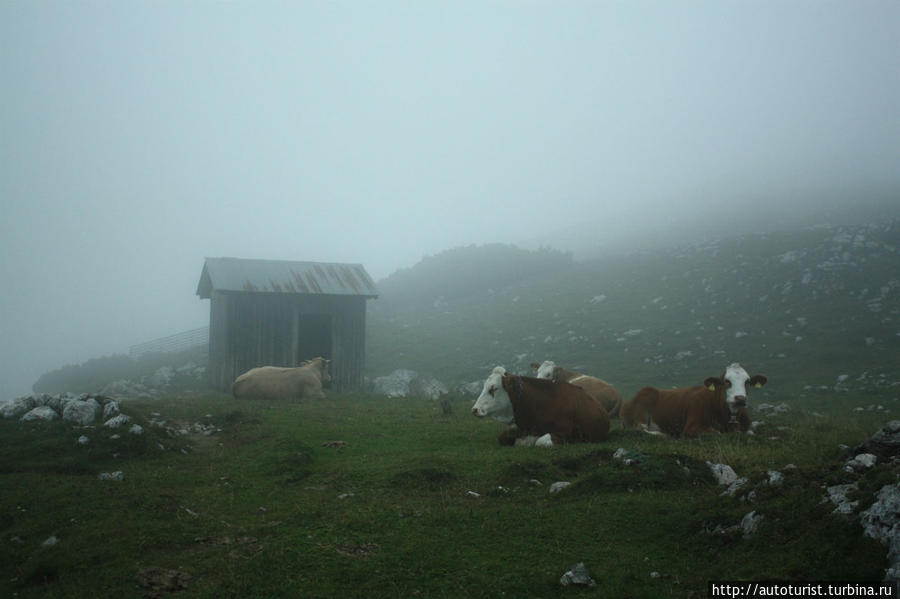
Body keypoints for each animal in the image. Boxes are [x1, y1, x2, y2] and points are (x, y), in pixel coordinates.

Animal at [624, 364, 768, 438]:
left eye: (748, 381)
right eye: (726, 381)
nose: (740, 398)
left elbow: (750, 432)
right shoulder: (691, 427)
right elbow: (717, 432)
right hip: (643, 406)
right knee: (641, 428)